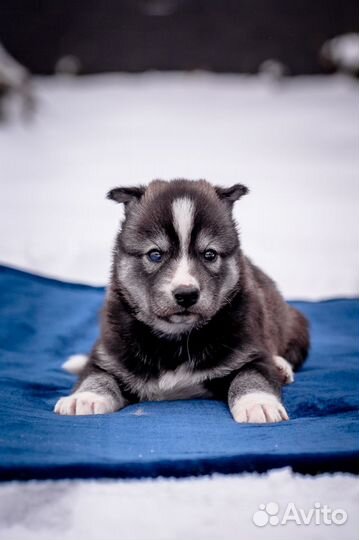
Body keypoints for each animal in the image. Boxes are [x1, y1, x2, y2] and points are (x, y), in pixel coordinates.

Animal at [55, 179, 310, 424]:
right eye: (155, 254)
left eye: (210, 254)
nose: (186, 294)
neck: (175, 340)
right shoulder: (110, 354)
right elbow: (97, 374)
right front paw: (85, 398)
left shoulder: (250, 351)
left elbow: (251, 376)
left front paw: (258, 403)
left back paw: (281, 367)